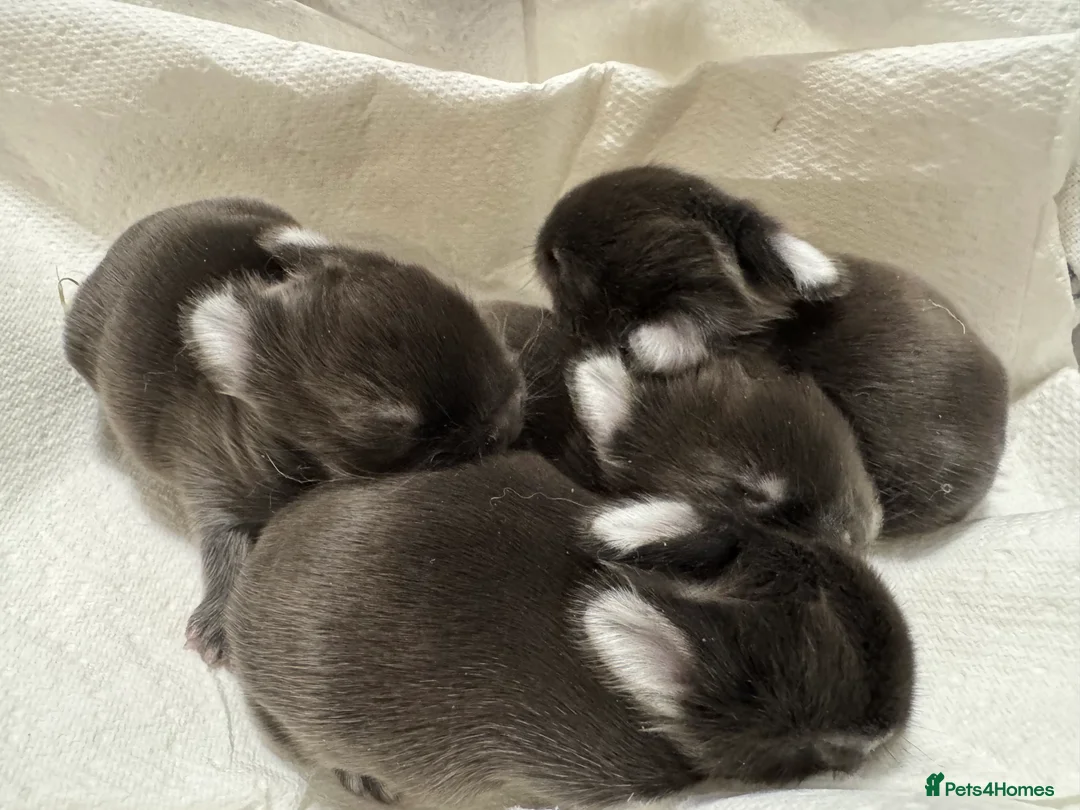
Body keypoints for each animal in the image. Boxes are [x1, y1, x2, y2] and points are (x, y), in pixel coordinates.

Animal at [64, 197, 525, 665]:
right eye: (389, 425)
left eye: (472, 312)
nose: (510, 419)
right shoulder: (212, 481)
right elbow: (225, 545)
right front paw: (212, 632)